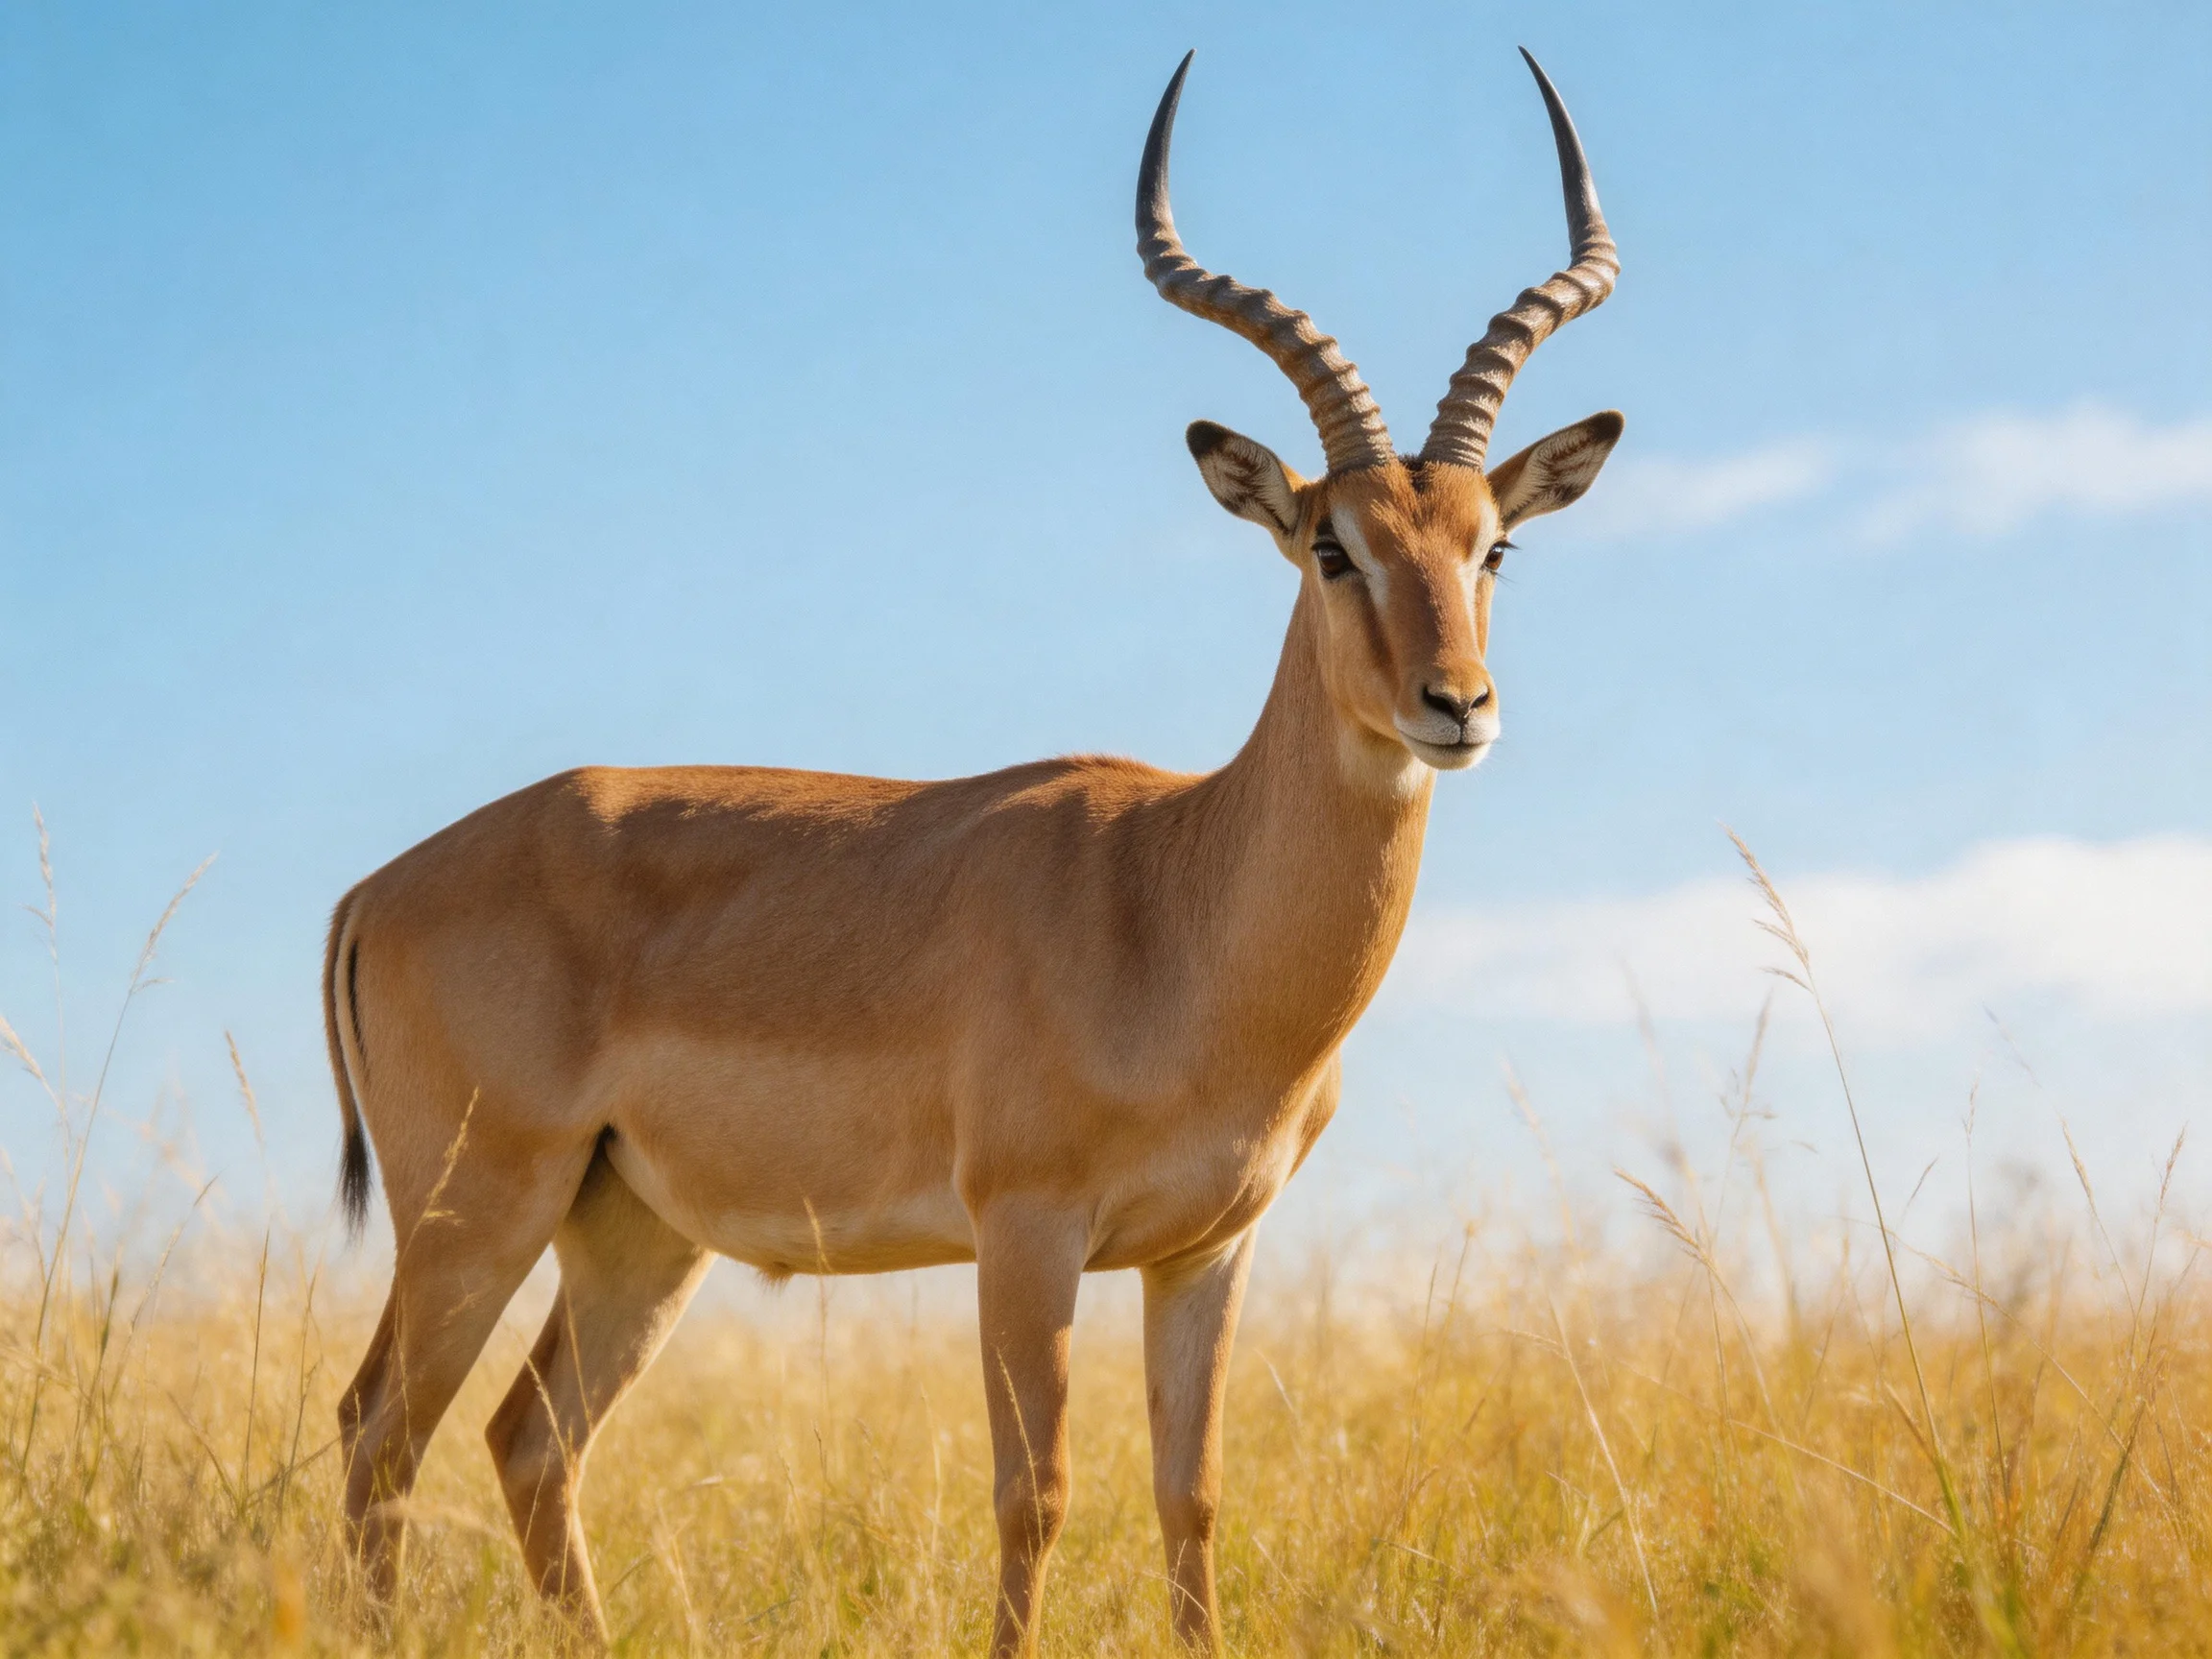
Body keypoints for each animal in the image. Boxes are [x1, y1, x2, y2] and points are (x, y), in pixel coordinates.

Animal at [325, 47, 1624, 1656]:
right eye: (1333, 546)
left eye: (1492, 544)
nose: (1458, 704)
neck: (1179, 905)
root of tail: (380, 886)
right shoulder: (1026, 1230)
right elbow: (1036, 1495)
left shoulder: (1207, 1250)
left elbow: (1191, 1499)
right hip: (477, 1208)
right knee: (380, 1432)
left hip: (629, 1232)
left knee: (524, 1442)